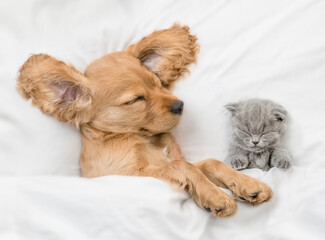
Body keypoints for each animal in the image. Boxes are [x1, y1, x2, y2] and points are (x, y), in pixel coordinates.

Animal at [16, 24, 272, 218]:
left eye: (156, 83)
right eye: (136, 99)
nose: (180, 105)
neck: (141, 138)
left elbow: (211, 163)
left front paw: (250, 185)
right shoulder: (130, 175)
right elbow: (184, 166)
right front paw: (216, 196)